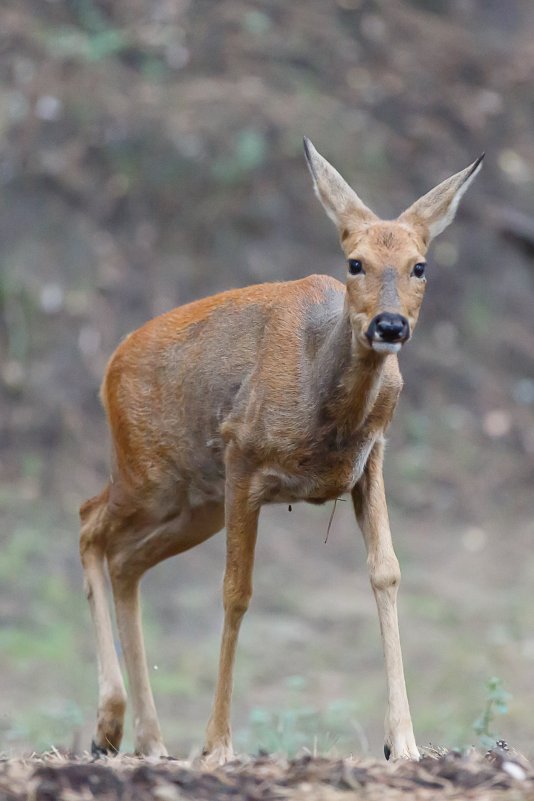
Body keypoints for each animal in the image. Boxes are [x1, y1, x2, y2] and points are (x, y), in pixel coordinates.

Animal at [79, 138, 486, 764]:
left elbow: (386, 573)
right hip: (149, 473)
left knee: (125, 560)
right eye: (354, 263)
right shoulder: (243, 456)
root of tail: (110, 366)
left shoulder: (371, 459)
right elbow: (236, 591)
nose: (390, 325)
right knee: (88, 523)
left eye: (420, 265)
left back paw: (147, 737)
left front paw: (404, 742)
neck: (327, 410)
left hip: (195, 503)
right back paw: (109, 724)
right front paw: (217, 745)